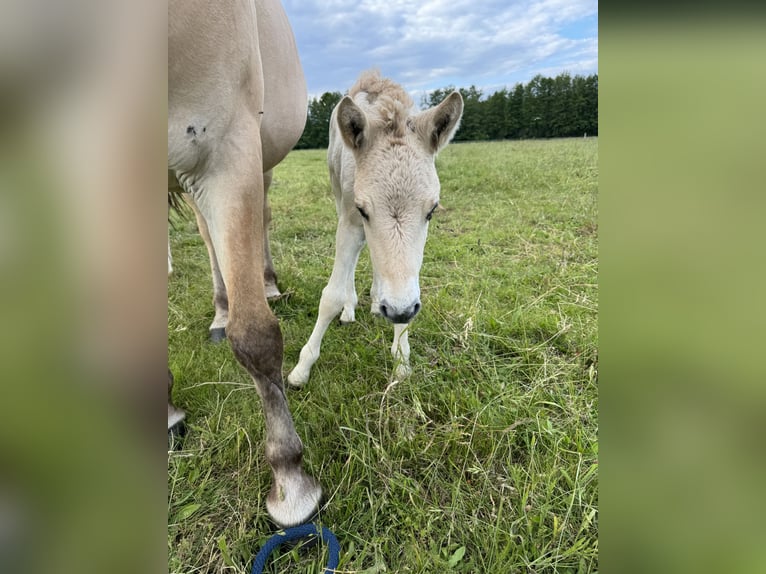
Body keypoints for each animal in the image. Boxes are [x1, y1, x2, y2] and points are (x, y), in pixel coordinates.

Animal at [170, 0, 322, 532]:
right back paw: (220, 310)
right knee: (208, 237)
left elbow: (255, 335)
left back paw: (269, 283)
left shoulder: (226, 148)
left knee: (261, 220)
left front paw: (290, 482)